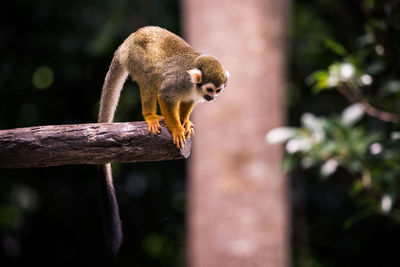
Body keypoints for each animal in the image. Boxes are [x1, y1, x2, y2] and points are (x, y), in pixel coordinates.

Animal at [96, 26, 228, 255]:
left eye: (218, 90)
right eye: (210, 89)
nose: (212, 98)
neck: (194, 85)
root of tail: (126, 42)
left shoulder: (192, 93)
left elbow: (187, 102)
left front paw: (185, 123)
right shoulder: (178, 81)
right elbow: (165, 95)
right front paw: (176, 129)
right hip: (135, 56)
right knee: (150, 78)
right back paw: (149, 115)